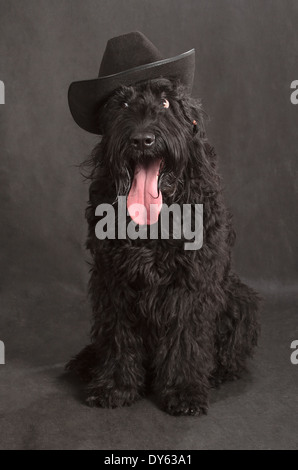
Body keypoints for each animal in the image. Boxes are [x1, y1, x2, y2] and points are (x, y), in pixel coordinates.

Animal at [67, 75, 258, 416]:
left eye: (166, 103)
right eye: (122, 103)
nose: (143, 140)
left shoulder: (191, 283)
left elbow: (186, 336)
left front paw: (183, 390)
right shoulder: (112, 281)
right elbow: (117, 336)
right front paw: (115, 386)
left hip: (240, 298)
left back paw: (216, 372)